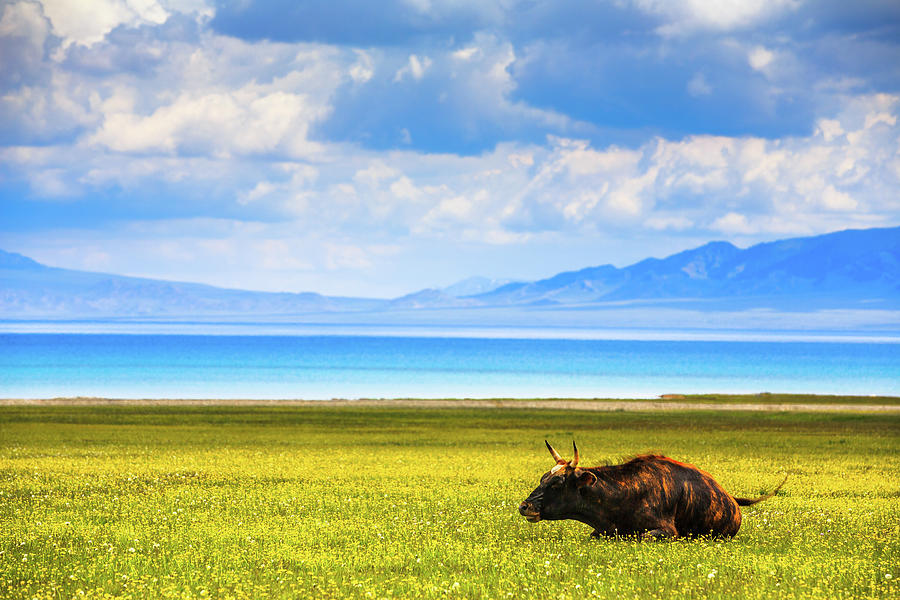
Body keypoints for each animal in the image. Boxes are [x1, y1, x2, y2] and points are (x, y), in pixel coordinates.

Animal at [516, 440, 784, 540]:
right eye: (543, 478)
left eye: (557, 483)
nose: (524, 506)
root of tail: (732, 499)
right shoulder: (601, 531)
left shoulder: (667, 530)